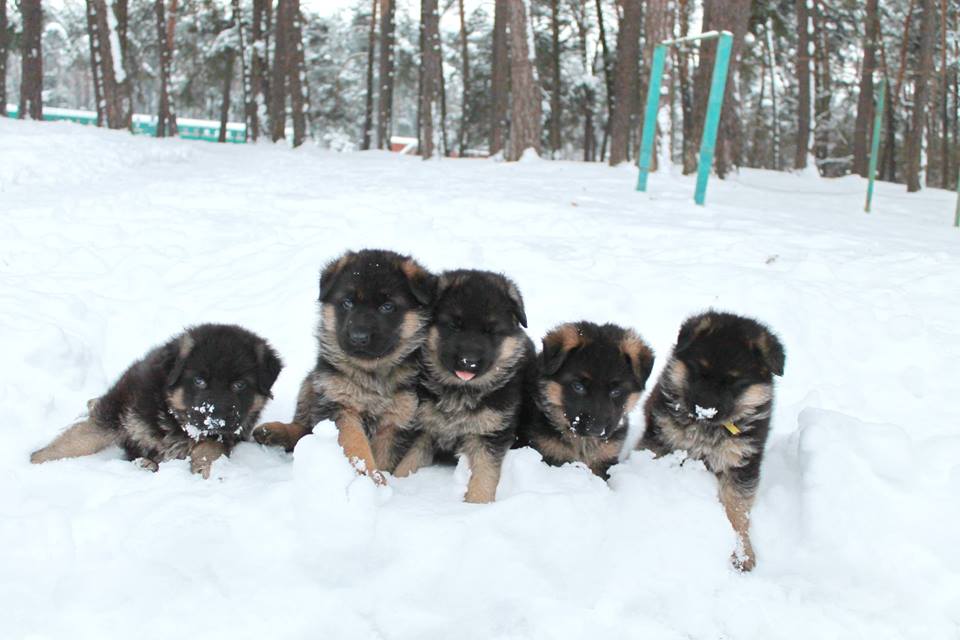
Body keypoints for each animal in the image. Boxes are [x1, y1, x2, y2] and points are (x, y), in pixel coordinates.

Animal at [30, 322, 284, 478]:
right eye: (199, 381)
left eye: (239, 385)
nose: (216, 418)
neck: (174, 419)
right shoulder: (118, 408)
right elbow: (79, 439)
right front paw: (36, 461)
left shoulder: (228, 434)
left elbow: (210, 447)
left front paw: (205, 469)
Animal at [253, 248, 436, 482]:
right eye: (347, 303)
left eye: (387, 307)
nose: (358, 338)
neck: (371, 372)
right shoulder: (339, 404)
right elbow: (355, 445)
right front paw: (370, 478)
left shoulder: (397, 418)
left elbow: (383, 455)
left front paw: (378, 479)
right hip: (312, 382)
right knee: (302, 427)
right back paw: (273, 432)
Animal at [394, 268, 536, 502]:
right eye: (454, 326)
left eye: (490, 331)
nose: (468, 361)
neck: (459, 391)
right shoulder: (422, 427)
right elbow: (408, 461)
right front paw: (398, 483)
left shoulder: (490, 432)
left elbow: (485, 472)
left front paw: (477, 503)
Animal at [640, 310, 784, 568]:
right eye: (698, 371)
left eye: (736, 382)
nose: (705, 409)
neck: (707, 429)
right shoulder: (662, 440)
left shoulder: (741, 462)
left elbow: (738, 509)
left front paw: (743, 554)